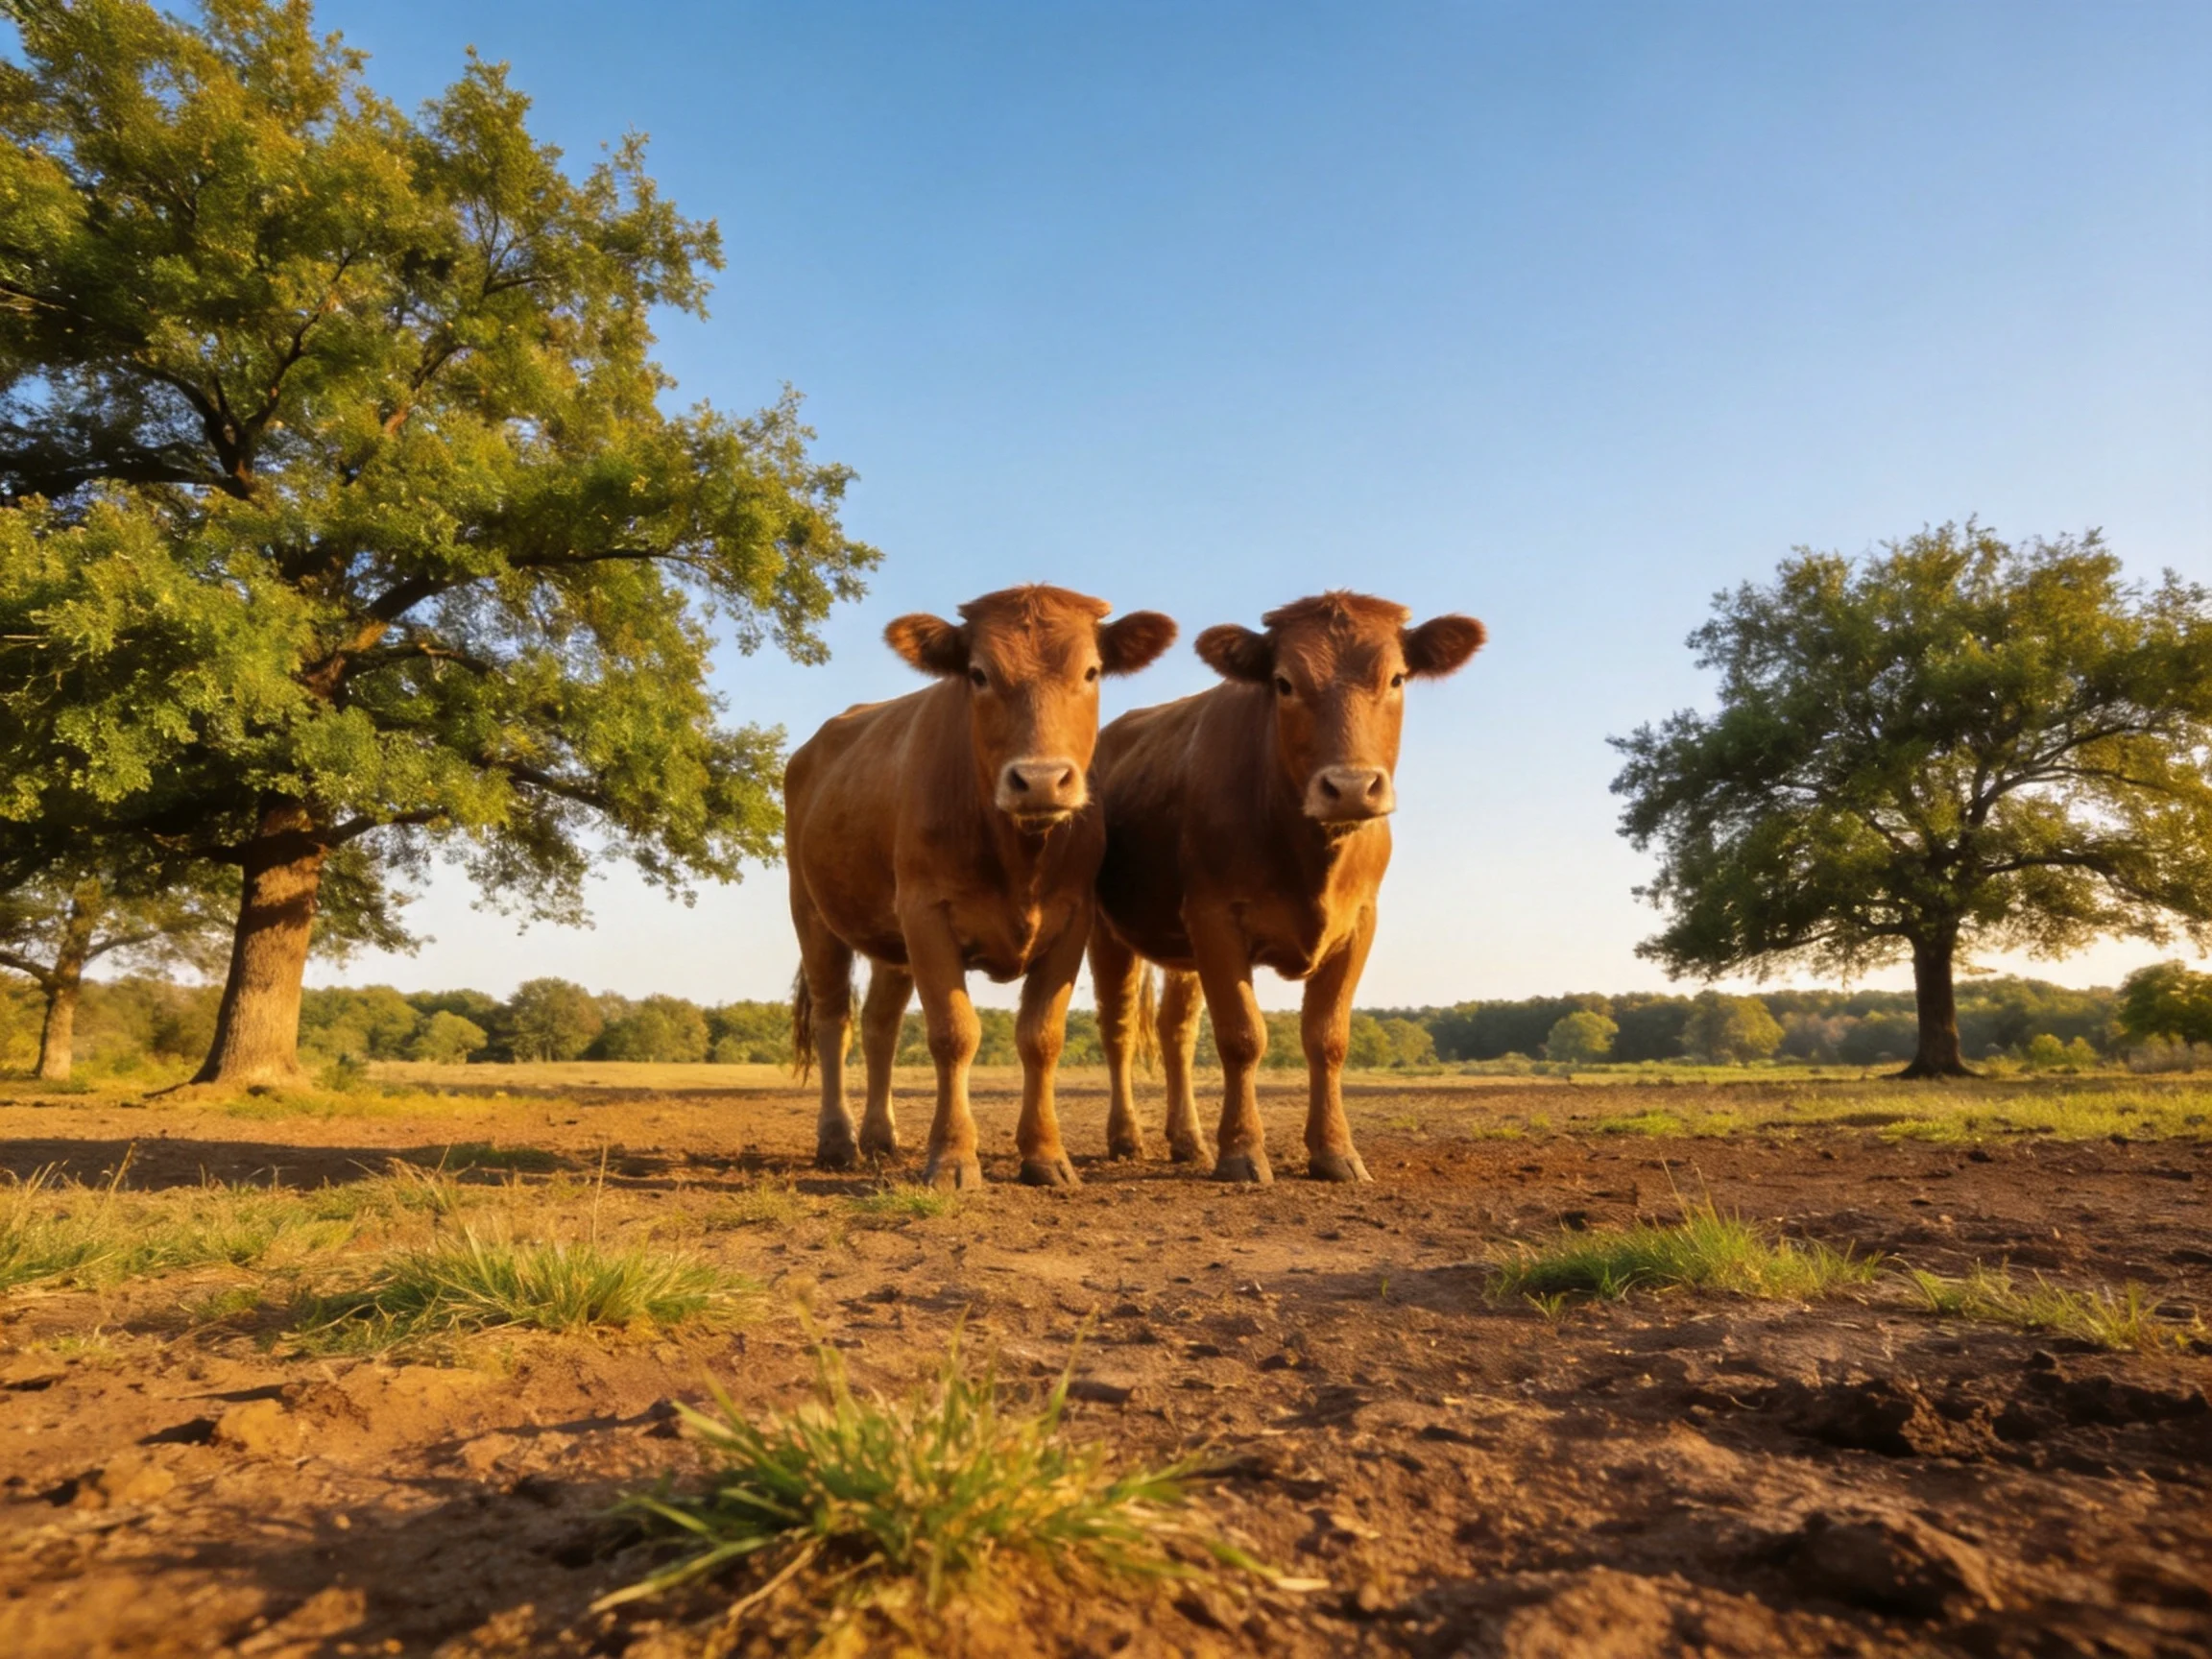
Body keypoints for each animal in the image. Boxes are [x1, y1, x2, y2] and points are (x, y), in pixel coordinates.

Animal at [785, 585, 1177, 1189]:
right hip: (812, 914)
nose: (1040, 780)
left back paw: (879, 1135)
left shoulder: (1073, 919)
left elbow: (1041, 1036)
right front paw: (952, 1158)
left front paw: (1045, 1154)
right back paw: (838, 1140)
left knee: (879, 1025)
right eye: (978, 674)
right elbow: (954, 1033)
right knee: (835, 1021)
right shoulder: (927, 914)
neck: (1020, 854)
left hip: (891, 940)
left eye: (1091, 671)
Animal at [1088, 592, 1485, 1183]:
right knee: (1117, 1028)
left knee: (1175, 1031)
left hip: (1180, 949)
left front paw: (1335, 1151)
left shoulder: (1359, 921)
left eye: (1396, 678)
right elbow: (1242, 1037)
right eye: (1284, 682)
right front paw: (1241, 1152)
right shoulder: (1215, 917)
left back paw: (1188, 1140)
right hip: (1103, 928)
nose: (1350, 786)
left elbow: (1327, 1038)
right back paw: (1126, 1137)